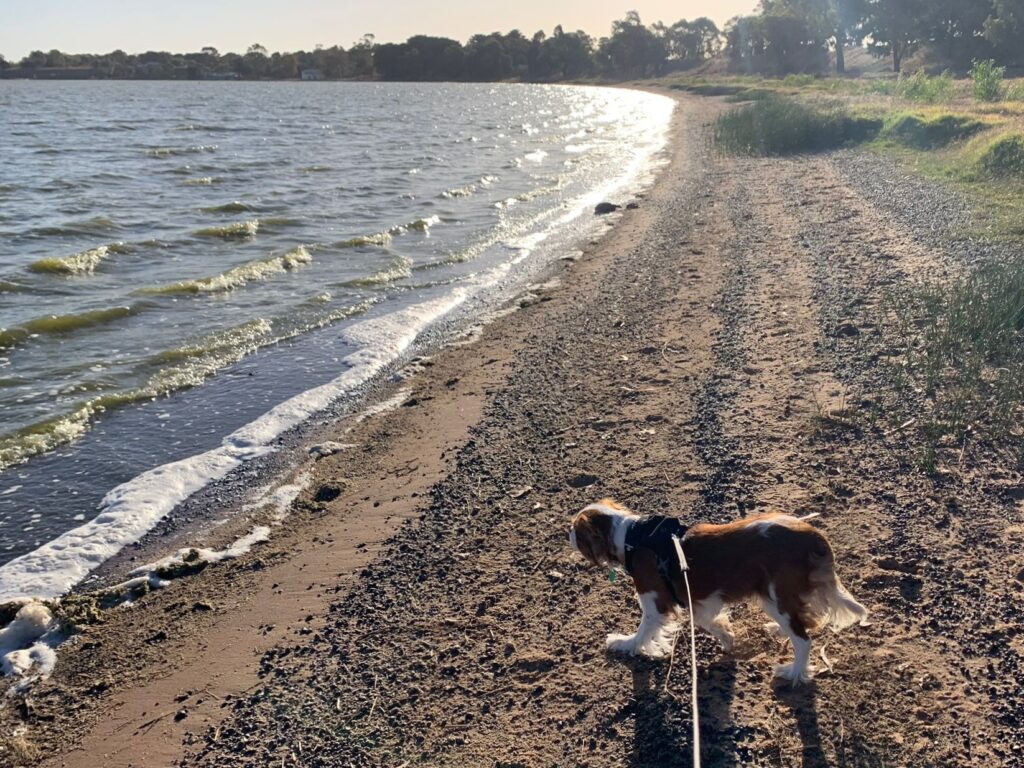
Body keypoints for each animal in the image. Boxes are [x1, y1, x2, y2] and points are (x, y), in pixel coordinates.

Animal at [573, 499, 868, 684]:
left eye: (575, 531)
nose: (567, 535)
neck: (632, 537)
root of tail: (813, 535)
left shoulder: (655, 601)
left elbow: (643, 632)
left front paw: (623, 643)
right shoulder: (698, 601)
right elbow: (711, 623)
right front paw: (727, 638)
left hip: (776, 596)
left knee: (804, 639)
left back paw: (793, 672)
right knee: (804, 621)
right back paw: (777, 631)